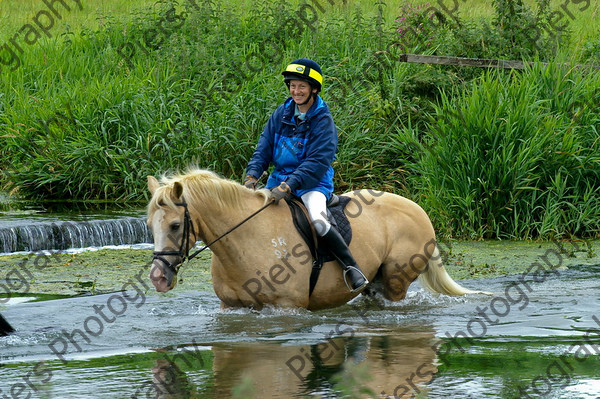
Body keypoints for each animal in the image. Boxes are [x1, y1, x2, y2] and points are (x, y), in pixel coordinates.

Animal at [148, 170, 486, 310]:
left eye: (176, 225)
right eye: (150, 225)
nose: (157, 279)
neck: (246, 239)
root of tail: (419, 210)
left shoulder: (287, 308)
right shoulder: (230, 309)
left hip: (395, 283)